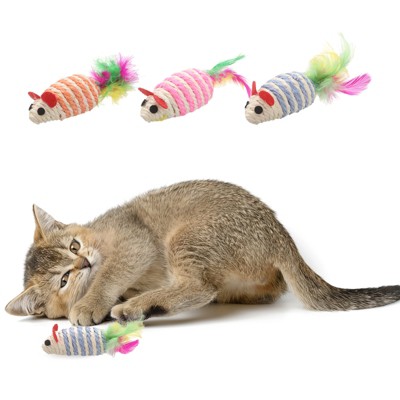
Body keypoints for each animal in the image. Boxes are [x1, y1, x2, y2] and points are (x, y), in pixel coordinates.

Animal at [5, 180, 400, 325]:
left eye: (73, 246)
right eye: (63, 280)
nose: (84, 261)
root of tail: (281, 236)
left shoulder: (136, 240)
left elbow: (110, 273)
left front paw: (90, 303)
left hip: (185, 237)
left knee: (200, 288)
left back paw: (137, 307)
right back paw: (145, 305)